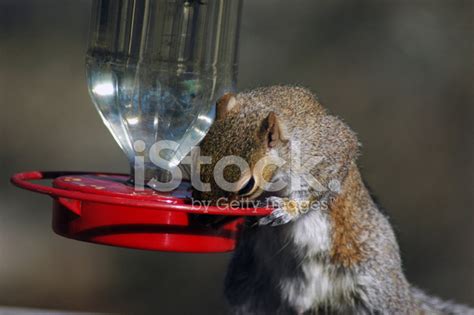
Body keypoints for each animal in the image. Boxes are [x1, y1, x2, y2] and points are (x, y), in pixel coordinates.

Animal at [191, 86, 472, 315]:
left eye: (247, 185)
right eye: (197, 160)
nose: (205, 220)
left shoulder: (330, 150)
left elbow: (323, 185)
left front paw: (288, 209)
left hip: (376, 286)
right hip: (247, 287)